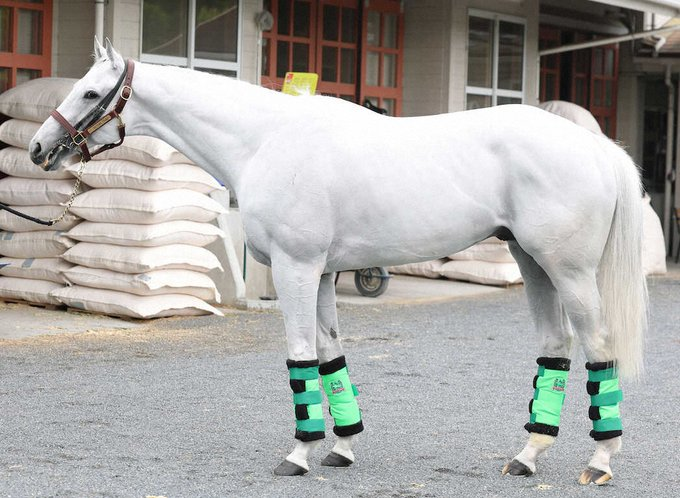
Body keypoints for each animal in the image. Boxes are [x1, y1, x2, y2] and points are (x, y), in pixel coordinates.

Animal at [29, 39, 647, 485]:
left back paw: (600, 461)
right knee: (556, 348)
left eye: (90, 92)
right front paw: (343, 448)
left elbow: (301, 355)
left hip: (567, 270)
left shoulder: (296, 267)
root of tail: (595, 146)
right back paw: (527, 454)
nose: (38, 149)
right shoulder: (322, 273)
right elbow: (330, 356)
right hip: (532, 263)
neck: (267, 139)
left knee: (598, 348)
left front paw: (299, 454)